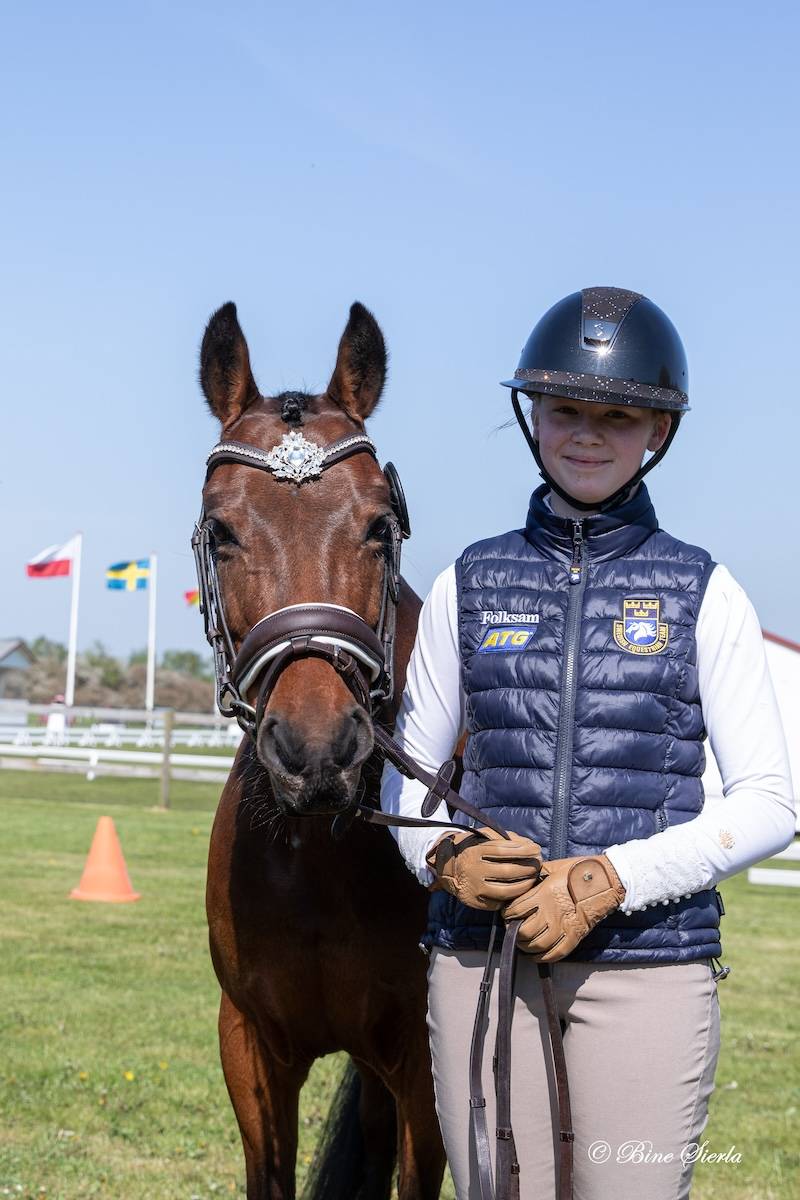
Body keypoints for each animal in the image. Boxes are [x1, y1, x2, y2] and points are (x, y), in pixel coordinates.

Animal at [195, 300, 446, 1200]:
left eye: (379, 525)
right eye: (222, 531)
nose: (316, 752)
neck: (320, 854)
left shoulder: (424, 1068)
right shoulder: (250, 1048)